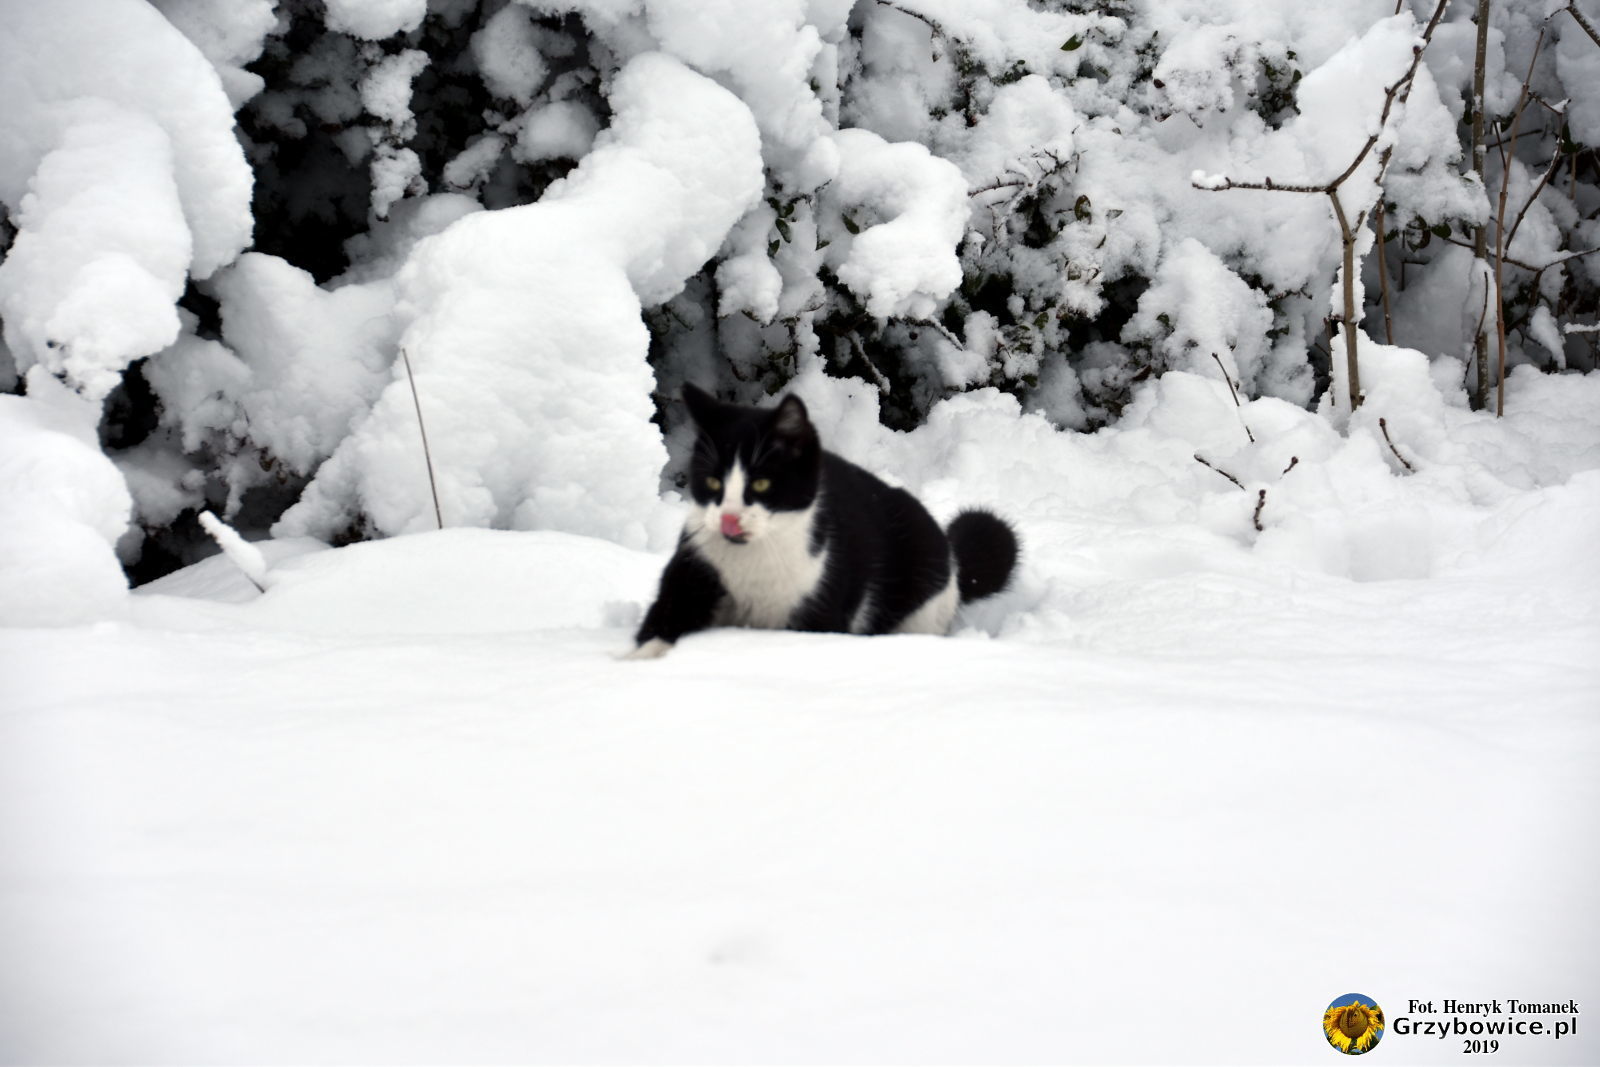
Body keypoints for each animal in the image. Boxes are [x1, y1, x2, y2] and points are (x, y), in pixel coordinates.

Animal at [625, 384, 1018, 658]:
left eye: (762, 483)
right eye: (712, 482)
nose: (729, 520)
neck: (751, 569)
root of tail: (951, 554)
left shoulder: (819, 611)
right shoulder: (693, 568)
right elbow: (662, 621)